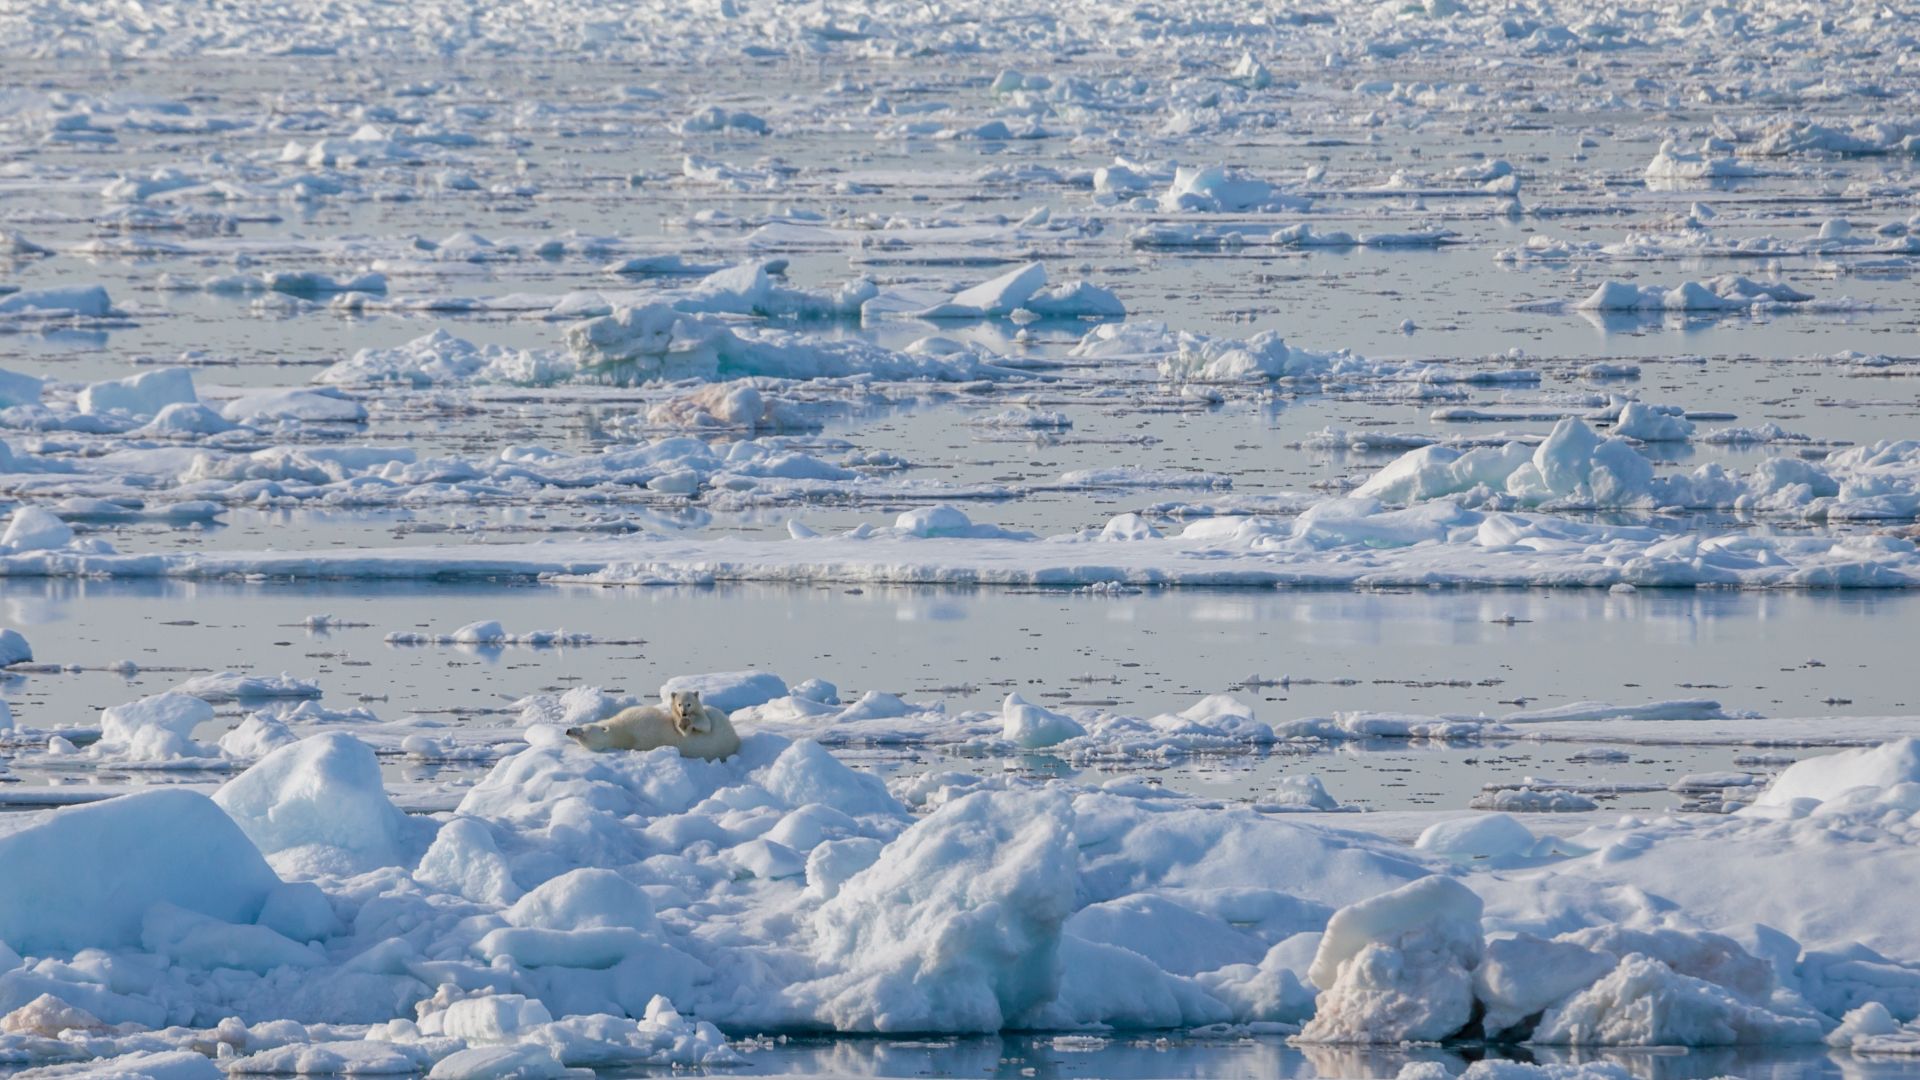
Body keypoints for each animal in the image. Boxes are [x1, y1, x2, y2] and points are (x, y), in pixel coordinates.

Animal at [565, 690, 741, 761]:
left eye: (582, 732)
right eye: (580, 738)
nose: (568, 730)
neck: (624, 734)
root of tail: (735, 739)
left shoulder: (638, 718)